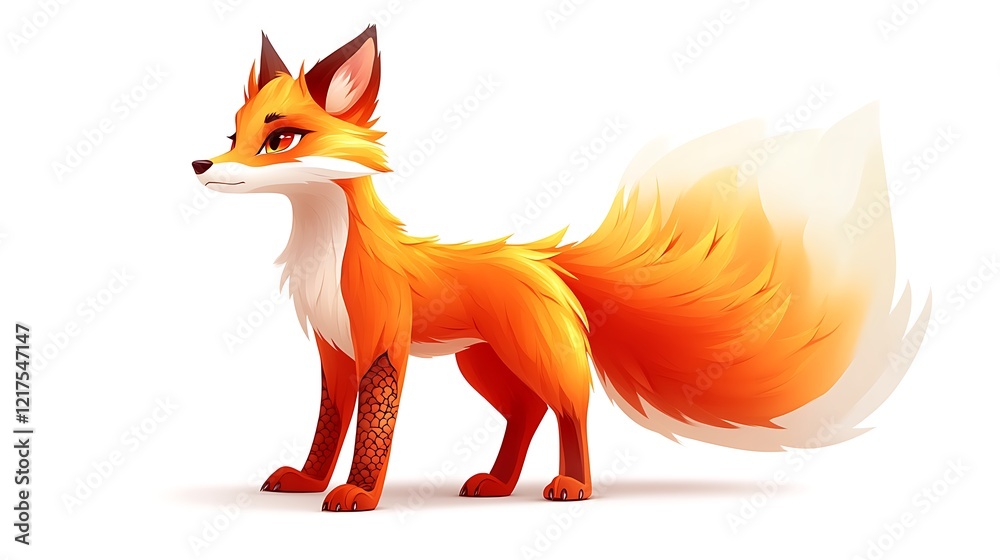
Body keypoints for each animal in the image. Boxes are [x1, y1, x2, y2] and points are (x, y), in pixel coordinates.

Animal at [193, 26, 929, 512]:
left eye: (281, 138)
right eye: (234, 136)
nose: (201, 164)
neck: (325, 252)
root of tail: (545, 259)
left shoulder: (381, 346)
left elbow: (373, 433)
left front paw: (358, 493)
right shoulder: (334, 351)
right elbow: (327, 427)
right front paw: (312, 480)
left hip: (528, 356)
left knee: (571, 408)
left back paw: (572, 485)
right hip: (485, 365)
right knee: (527, 413)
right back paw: (496, 482)